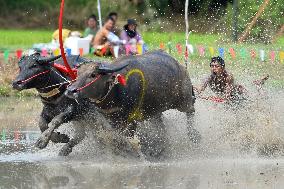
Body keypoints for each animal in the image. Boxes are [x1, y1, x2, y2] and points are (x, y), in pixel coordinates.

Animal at [66, 49, 200, 157]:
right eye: (77, 73)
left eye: (93, 75)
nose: (71, 90)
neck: (116, 89)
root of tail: (180, 66)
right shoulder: (111, 120)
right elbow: (114, 137)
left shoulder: (131, 121)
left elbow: (126, 138)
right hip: (155, 111)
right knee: (161, 127)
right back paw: (159, 149)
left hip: (183, 101)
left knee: (191, 110)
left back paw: (194, 135)